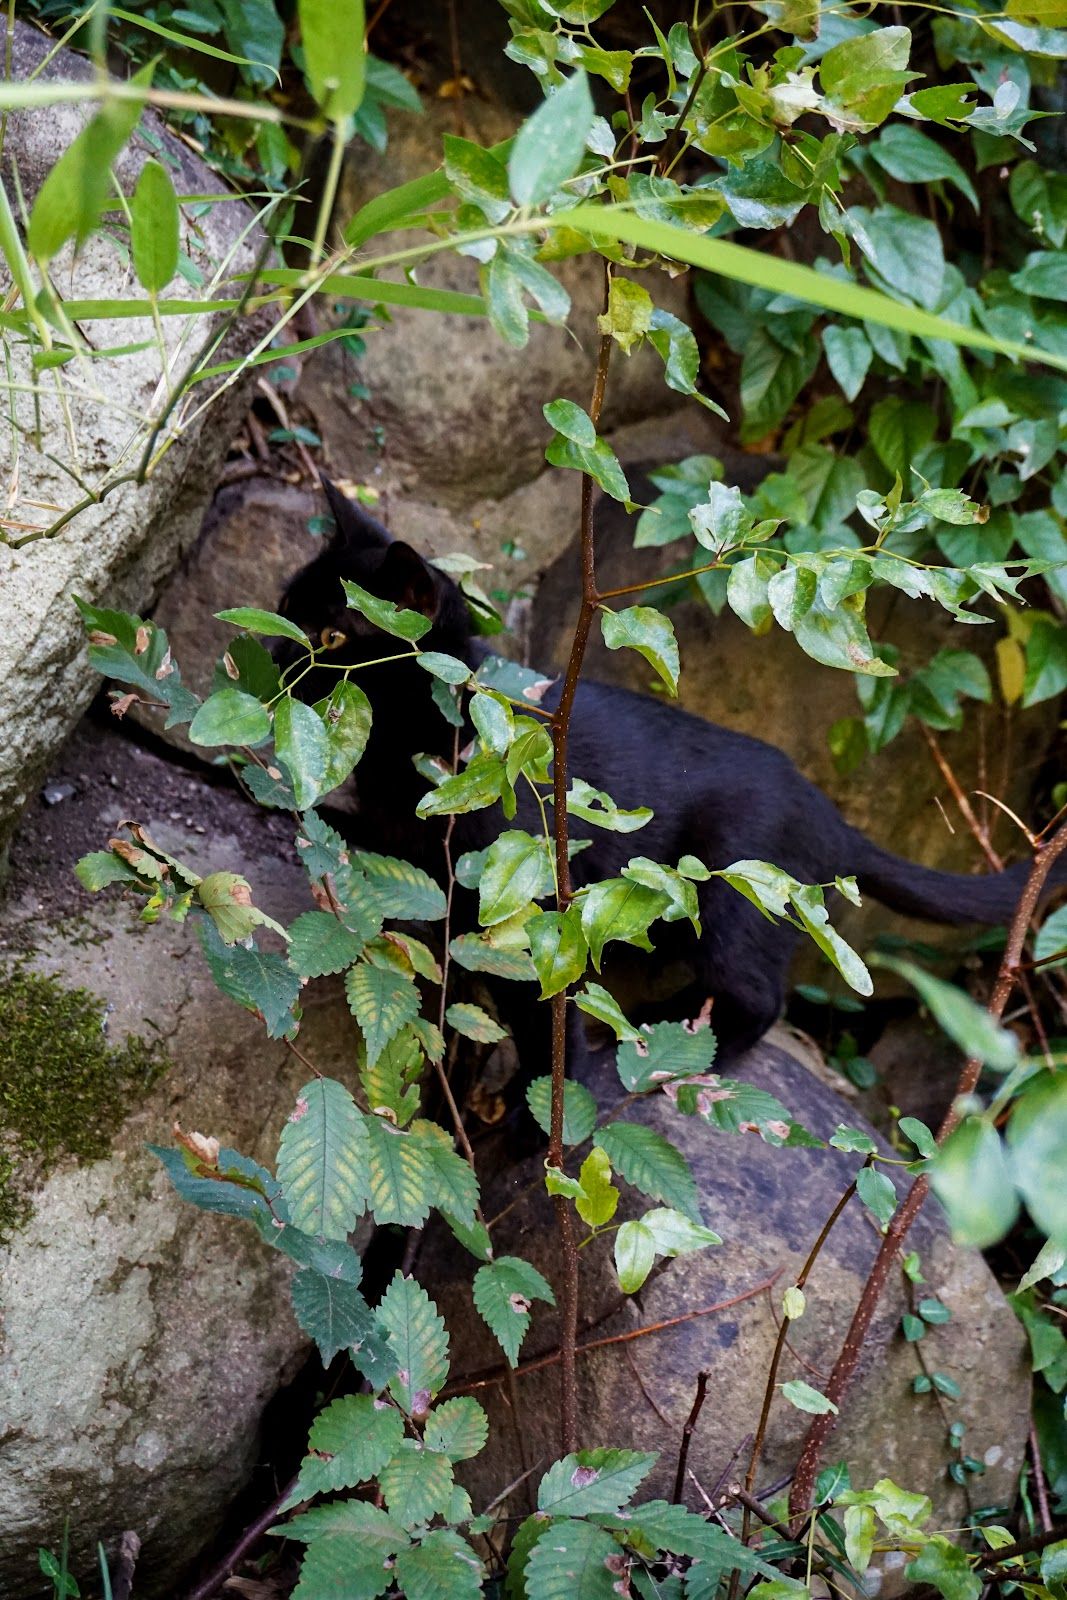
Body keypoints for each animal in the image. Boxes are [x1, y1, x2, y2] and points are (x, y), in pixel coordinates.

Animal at [278, 473, 1067, 1075]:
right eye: (287, 605)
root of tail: (829, 815)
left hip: (728, 897)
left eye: (332, 636)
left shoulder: (523, 896)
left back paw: (683, 1054)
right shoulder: (410, 843)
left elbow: (543, 1012)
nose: (276, 650)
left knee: (758, 998)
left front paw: (550, 1117)